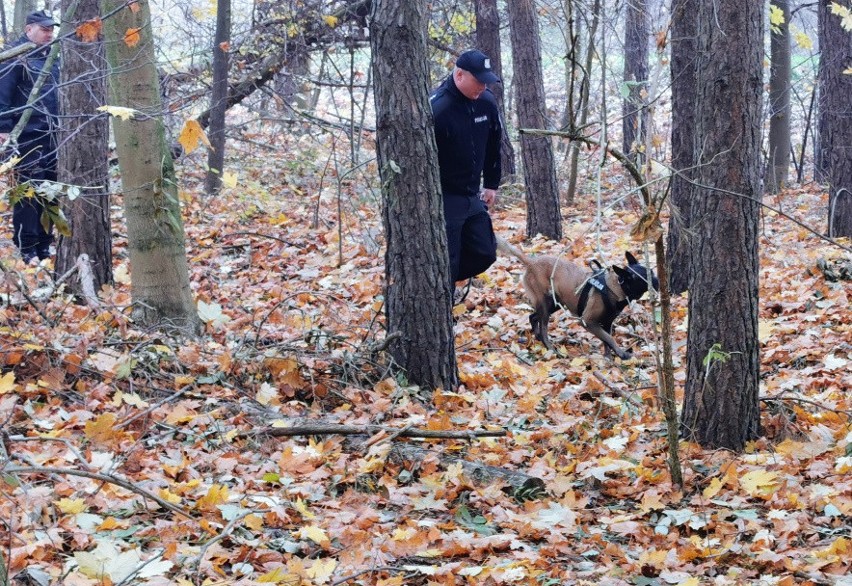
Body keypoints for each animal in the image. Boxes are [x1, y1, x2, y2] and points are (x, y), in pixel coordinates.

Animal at [500, 236, 660, 356]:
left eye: (651, 272)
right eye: (644, 278)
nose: (658, 280)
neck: (615, 287)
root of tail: (531, 262)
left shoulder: (607, 323)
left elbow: (607, 341)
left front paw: (609, 358)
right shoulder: (588, 322)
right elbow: (609, 338)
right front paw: (621, 354)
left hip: (554, 303)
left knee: (533, 317)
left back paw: (538, 336)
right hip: (546, 305)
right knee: (542, 326)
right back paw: (550, 348)